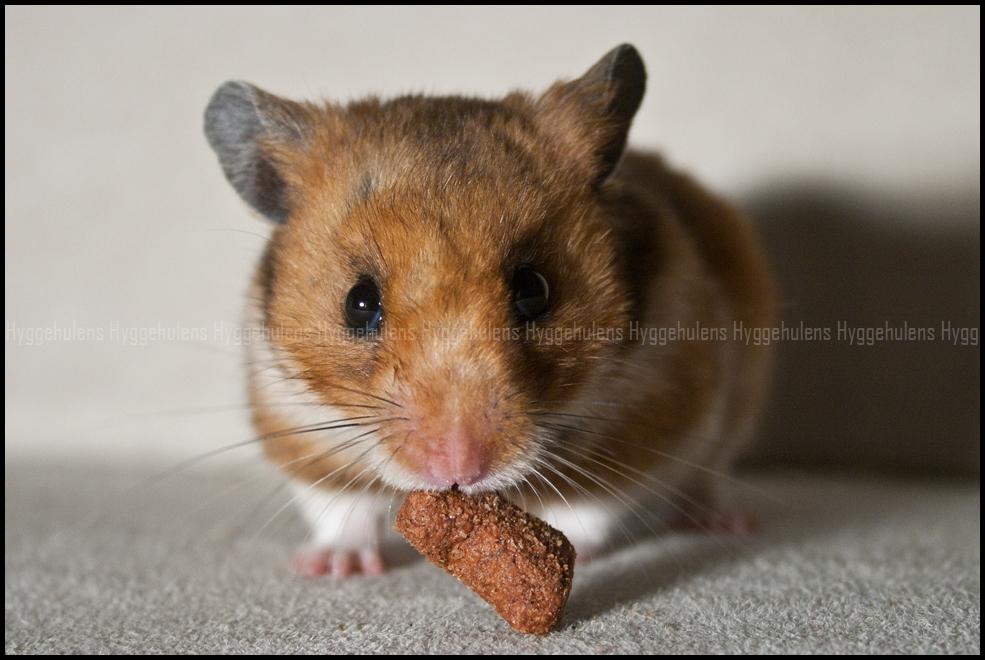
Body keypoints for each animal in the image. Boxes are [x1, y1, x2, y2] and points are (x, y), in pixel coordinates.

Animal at [203, 44, 776, 577]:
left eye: (535, 290)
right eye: (358, 303)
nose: (458, 472)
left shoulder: (643, 417)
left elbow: (589, 505)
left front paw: (566, 556)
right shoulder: (298, 426)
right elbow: (343, 507)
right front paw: (332, 568)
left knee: (705, 478)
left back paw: (724, 522)